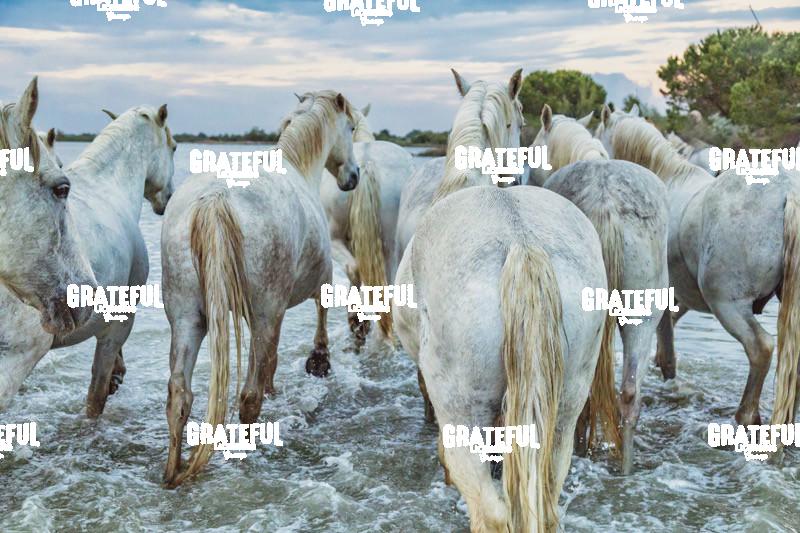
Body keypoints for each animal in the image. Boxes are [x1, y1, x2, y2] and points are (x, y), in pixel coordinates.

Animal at [161, 90, 360, 487]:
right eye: (350, 128)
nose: (353, 177)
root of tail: (215, 197)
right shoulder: (313, 282)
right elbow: (319, 313)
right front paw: (319, 361)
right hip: (265, 311)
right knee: (248, 398)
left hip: (187, 318)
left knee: (179, 395)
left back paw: (172, 473)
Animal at [596, 105, 800, 441]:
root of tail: (787, 194)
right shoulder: (681, 297)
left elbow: (666, 343)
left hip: (727, 305)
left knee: (760, 349)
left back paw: (746, 416)